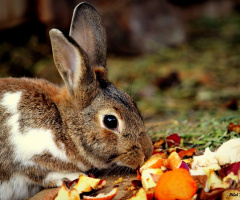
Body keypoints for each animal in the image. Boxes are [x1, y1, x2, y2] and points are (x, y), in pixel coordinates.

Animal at [0, 1, 154, 200]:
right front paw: (68, 176)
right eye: (110, 121)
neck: (64, 125)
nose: (147, 152)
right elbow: (38, 173)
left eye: (132, 102)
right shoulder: (24, 157)